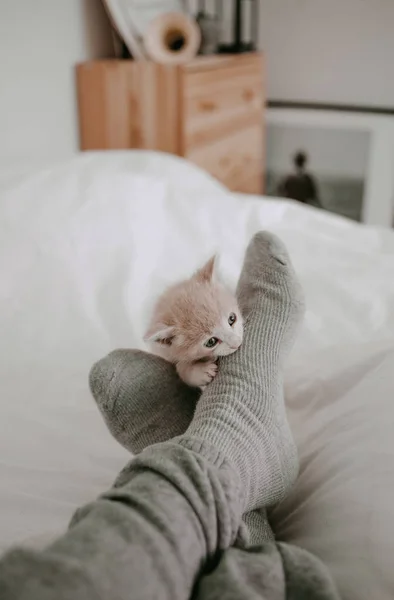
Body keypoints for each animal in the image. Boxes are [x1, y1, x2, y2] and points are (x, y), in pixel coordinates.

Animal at [145, 254, 243, 386]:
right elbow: (180, 366)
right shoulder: (165, 353)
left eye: (232, 318)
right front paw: (199, 372)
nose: (237, 343)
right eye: (211, 342)